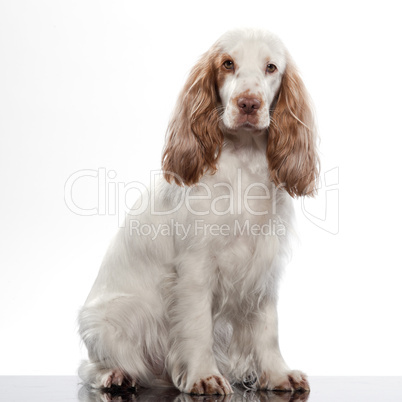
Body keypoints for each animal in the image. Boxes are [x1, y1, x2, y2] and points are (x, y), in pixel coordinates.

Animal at [77, 29, 318, 396]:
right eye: (227, 64)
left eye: (271, 67)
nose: (249, 104)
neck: (243, 161)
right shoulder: (196, 266)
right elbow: (197, 325)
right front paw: (204, 376)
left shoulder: (264, 264)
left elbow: (267, 326)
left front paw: (277, 374)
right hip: (109, 317)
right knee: (90, 365)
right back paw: (115, 375)